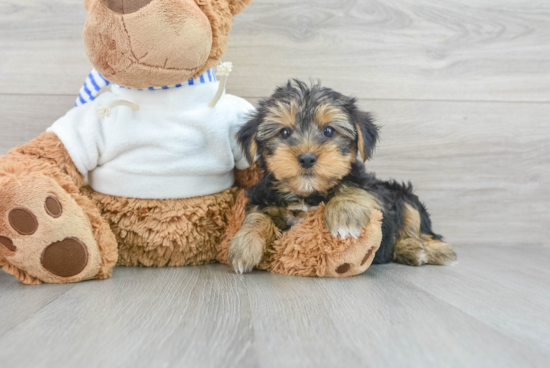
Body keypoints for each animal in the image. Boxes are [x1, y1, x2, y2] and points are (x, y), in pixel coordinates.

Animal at [229, 82, 458, 274]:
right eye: (284, 133)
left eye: (329, 131)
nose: (307, 158)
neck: (307, 193)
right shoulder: (264, 199)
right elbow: (257, 216)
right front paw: (244, 245)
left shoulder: (374, 190)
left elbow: (352, 186)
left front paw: (344, 216)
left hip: (403, 195)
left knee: (416, 226)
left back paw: (426, 250)